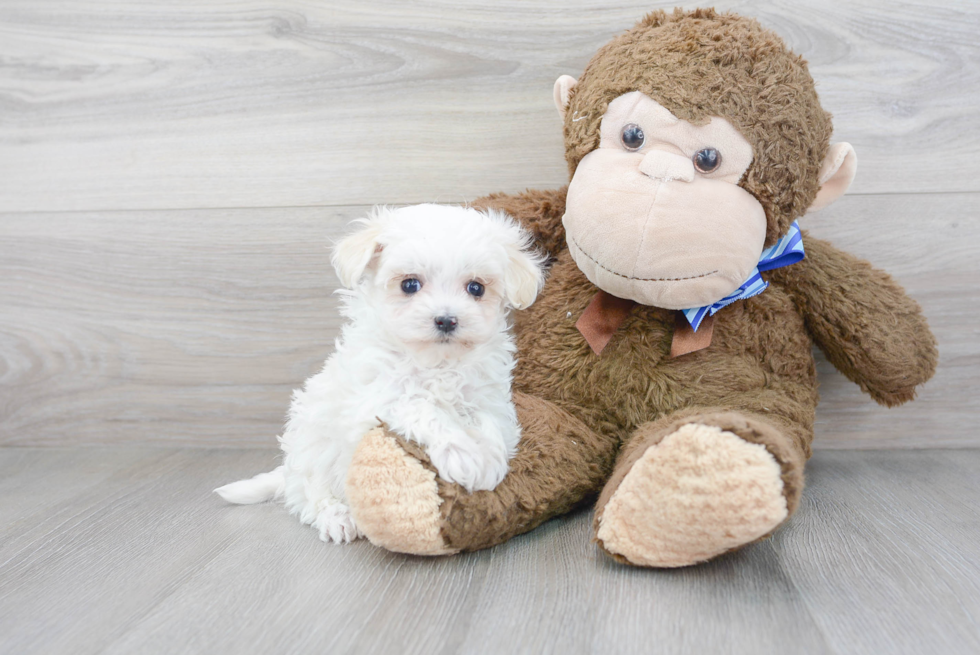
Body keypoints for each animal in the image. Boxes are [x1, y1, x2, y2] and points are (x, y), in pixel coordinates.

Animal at [214, 204, 548, 544]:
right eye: (410, 285)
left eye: (476, 288)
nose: (446, 320)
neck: (435, 362)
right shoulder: (376, 399)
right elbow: (421, 407)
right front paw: (463, 454)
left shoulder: (488, 396)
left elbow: (490, 423)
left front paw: (490, 458)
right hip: (312, 447)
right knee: (308, 493)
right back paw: (336, 516)